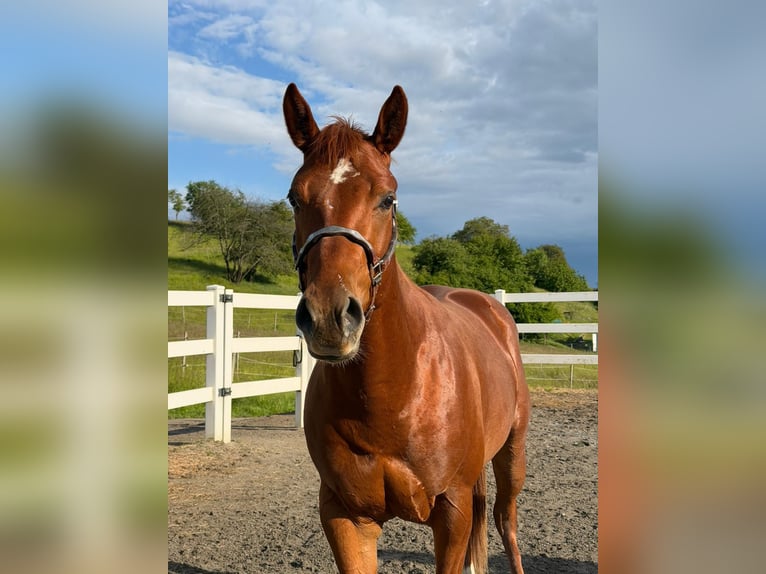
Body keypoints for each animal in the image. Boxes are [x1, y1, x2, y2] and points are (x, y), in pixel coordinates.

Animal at [283, 83, 530, 574]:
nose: (329, 318)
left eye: (387, 199)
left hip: (513, 454)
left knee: (505, 523)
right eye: (294, 198)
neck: (393, 394)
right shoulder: (344, 515)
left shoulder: (452, 513)